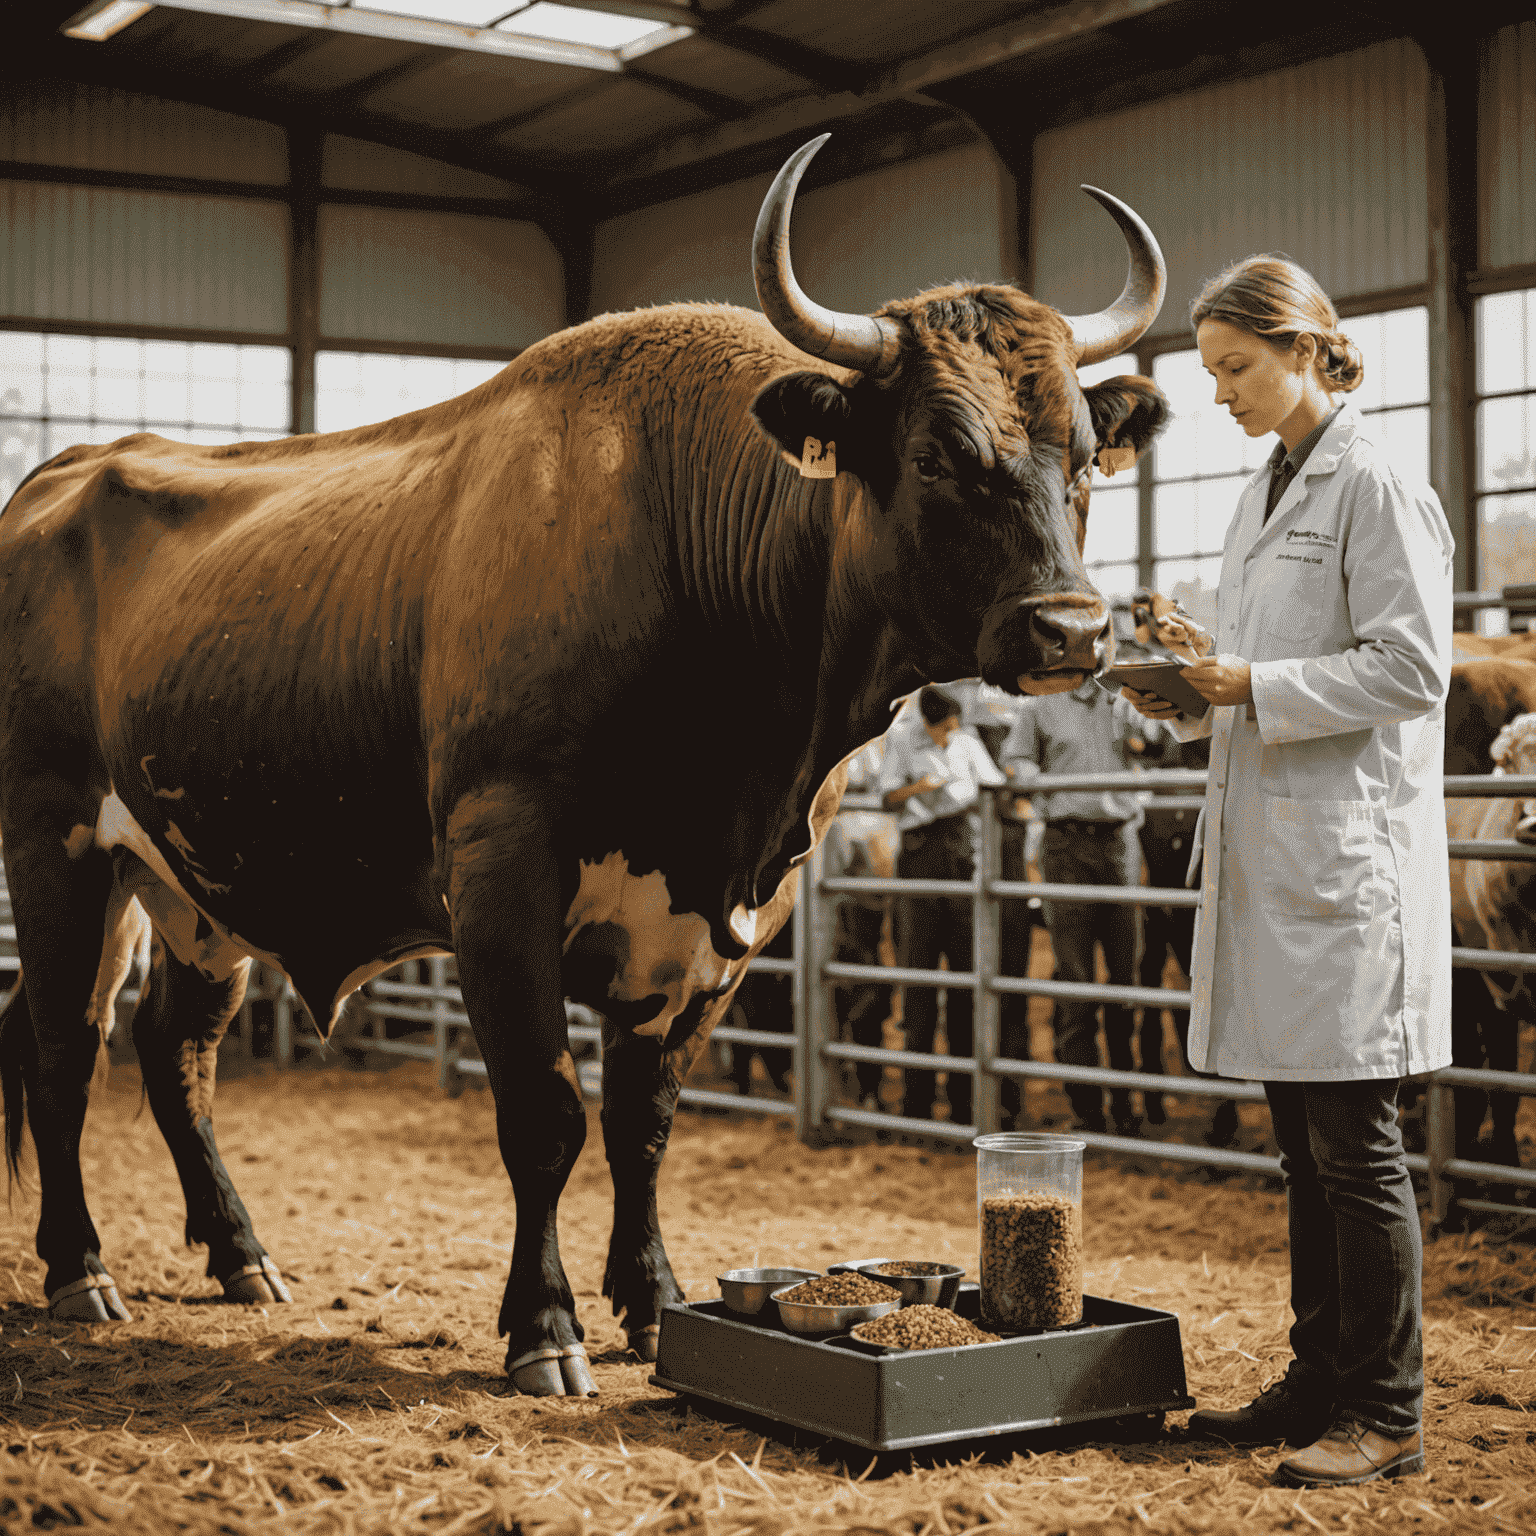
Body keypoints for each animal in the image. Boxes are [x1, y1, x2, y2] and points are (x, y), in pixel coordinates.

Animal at [0, 138, 1161, 1400]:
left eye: (1086, 457)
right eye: (937, 454)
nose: (1072, 629)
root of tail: (68, 469)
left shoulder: (728, 915)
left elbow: (641, 1123)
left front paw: (651, 1305)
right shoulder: (503, 866)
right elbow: (545, 1112)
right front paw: (544, 1326)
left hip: (191, 883)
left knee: (176, 1053)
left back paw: (242, 1257)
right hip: (57, 846)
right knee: (62, 1047)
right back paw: (80, 1271)